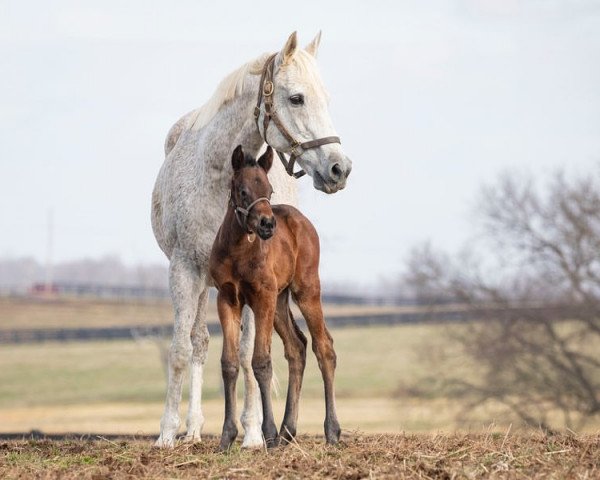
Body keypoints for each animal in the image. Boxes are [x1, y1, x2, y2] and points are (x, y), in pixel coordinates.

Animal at [210, 145, 340, 450]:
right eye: (243, 190)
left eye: (269, 191)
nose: (268, 225)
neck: (238, 251)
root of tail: (302, 221)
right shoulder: (227, 298)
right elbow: (229, 363)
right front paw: (227, 437)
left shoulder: (262, 297)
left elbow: (261, 361)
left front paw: (266, 433)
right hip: (280, 301)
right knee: (297, 347)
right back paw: (287, 432)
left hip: (305, 290)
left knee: (323, 347)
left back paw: (331, 432)